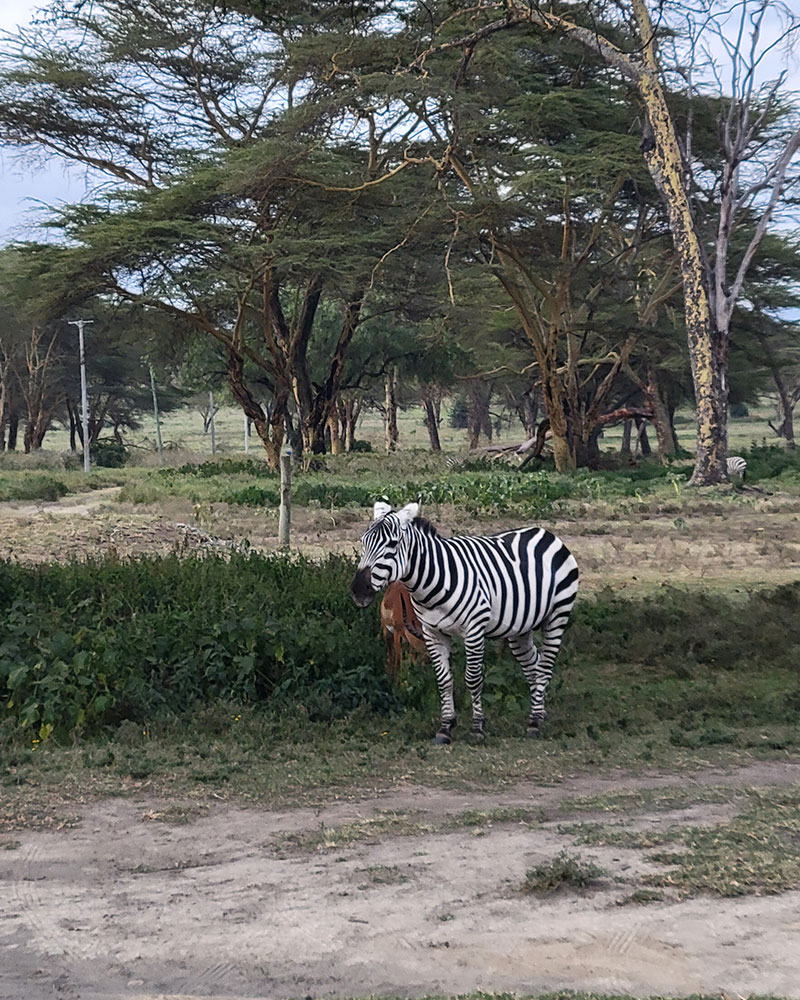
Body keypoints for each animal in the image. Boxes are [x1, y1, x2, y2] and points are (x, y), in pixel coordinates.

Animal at [351, 501, 579, 744]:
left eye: (392, 544)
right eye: (363, 541)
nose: (358, 590)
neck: (434, 581)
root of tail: (545, 533)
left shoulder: (474, 630)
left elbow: (473, 678)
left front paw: (477, 728)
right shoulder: (432, 632)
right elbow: (443, 680)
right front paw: (445, 727)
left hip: (557, 615)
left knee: (544, 667)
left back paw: (535, 723)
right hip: (520, 628)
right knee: (533, 666)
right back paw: (538, 714)